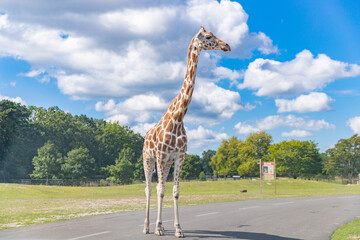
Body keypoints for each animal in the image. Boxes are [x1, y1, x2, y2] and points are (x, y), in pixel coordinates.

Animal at [143, 25, 231, 236]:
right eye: (208, 37)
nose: (227, 45)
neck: (178, 118)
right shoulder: (160, 156)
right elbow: (159, 190)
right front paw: (157, 228)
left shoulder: (179, 156)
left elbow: (175, 191)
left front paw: (177, 229)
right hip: (148, 159)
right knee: (149, 189)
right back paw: (147, 226)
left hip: (165, 163)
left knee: (159, 187)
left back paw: (160, 225)